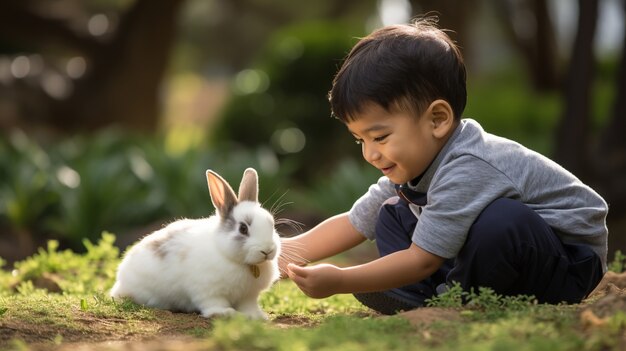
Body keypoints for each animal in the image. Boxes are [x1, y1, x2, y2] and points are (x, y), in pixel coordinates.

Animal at [110, 169, 280, 320]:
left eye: (271, 223)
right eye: (243, 228)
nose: (267, 250)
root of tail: (120, 281)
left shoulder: (249, 296)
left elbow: (248, 306)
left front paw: (257, 316)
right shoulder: (209, 291)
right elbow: (214, 303)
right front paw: (224, 313)